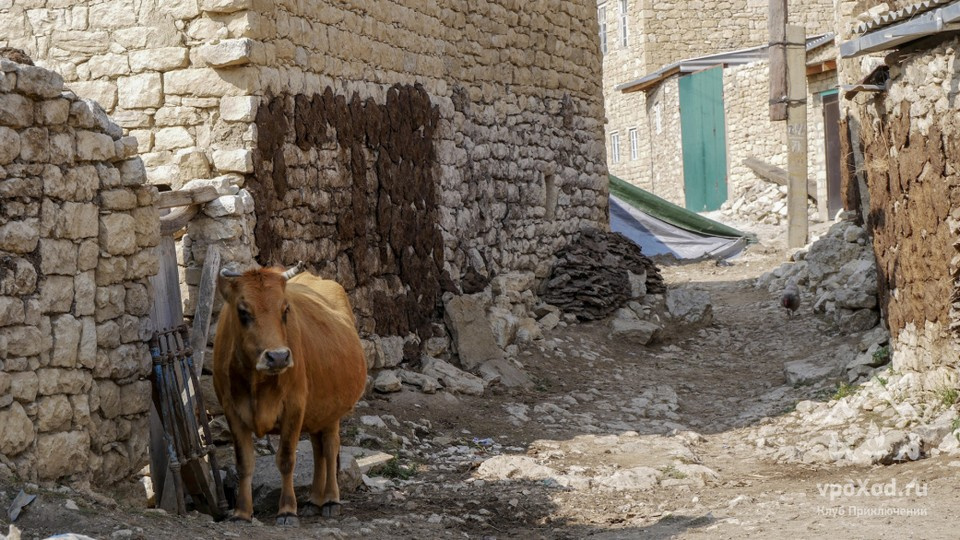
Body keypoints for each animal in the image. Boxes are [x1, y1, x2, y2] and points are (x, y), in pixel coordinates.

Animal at [214, 264, 368, 524]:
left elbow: (286, 460)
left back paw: (331, 500)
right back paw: (314, 500)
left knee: (330, 447)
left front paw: (287, 510)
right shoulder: (231, 410)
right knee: (318, 450)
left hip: (333, 410)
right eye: (243, 311)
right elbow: (244, 463)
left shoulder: (294, 407)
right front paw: (242, 512)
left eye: (285, 309)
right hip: (317, 409)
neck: (257, 382)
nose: (278, 357)